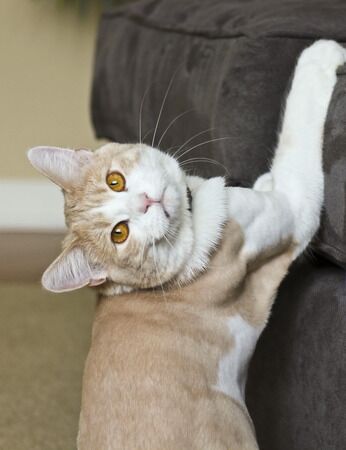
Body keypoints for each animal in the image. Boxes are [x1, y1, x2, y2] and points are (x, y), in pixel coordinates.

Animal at [27, 40, 346, 448]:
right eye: (119, 233)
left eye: (115, 180)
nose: (147, 201)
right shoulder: (293, 206)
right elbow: (296, 127)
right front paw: (322, 52)